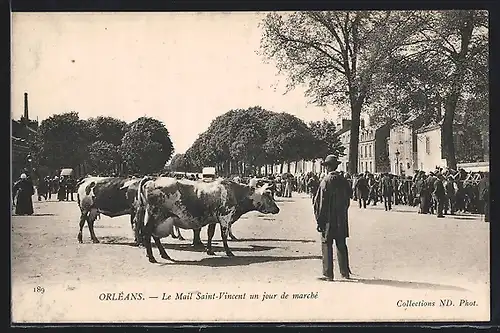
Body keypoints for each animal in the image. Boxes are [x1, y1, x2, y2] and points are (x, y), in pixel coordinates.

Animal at [134, 175, 282, 264]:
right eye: (269, 196)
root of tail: (152, 180)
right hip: (155, 215)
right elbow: (224, 236)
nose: (277, 209)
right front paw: (228, 252)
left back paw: (164, 254)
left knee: (154, 236)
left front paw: (209, 250)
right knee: (147, 233)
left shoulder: (214, 219)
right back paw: (152, 257)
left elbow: (210, 234)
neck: (235, 192)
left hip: (159, 219)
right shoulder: (225, 217)